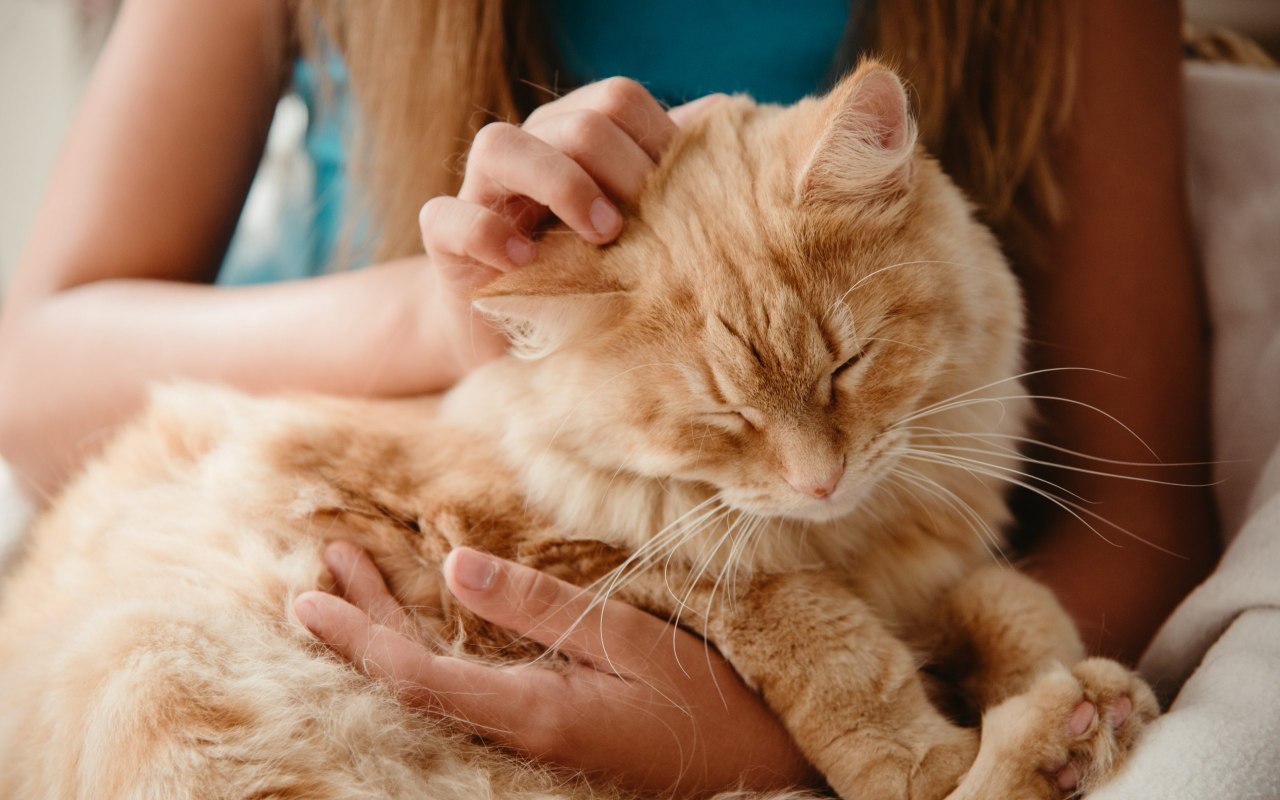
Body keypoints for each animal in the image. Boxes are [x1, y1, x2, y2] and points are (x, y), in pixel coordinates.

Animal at [0, 62, 1162, 798]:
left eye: (846, 365)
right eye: (723, 415)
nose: (819, 480)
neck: (855, 537)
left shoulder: (923, 569)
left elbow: (1005, 598)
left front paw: (1066, 675)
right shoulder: (572, 549)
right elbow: (826, 641)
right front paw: (944, 745)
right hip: (161, 668)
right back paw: (1050, 747)